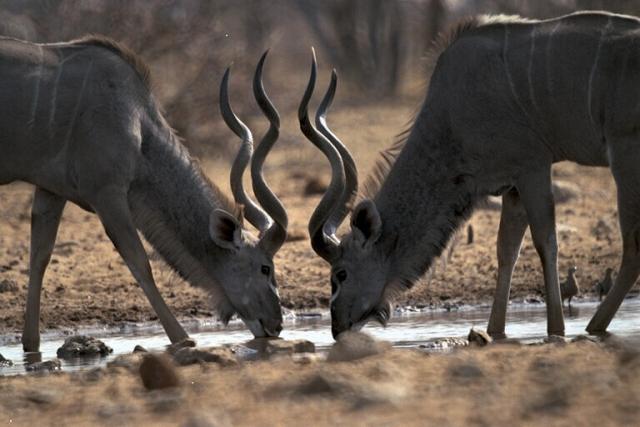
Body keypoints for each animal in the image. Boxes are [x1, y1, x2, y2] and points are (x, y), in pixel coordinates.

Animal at [0, 35, 284, 352]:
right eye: (265, 268)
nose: (276, 325)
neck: (136, 120)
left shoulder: (50, 190)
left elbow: (39, 256)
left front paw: (31, 345)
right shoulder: (107, 193)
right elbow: (140, 261)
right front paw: (182, 338)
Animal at [302, 10, 640, 342]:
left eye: (340, 274)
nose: (336, 329)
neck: (451, 113)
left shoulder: (533, 167)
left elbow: (546, 244)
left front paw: (555, 332)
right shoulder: (512, 185)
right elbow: (506, 251)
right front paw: (495, 332)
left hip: (624, 157)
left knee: (632, 247)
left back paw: (594, 327)